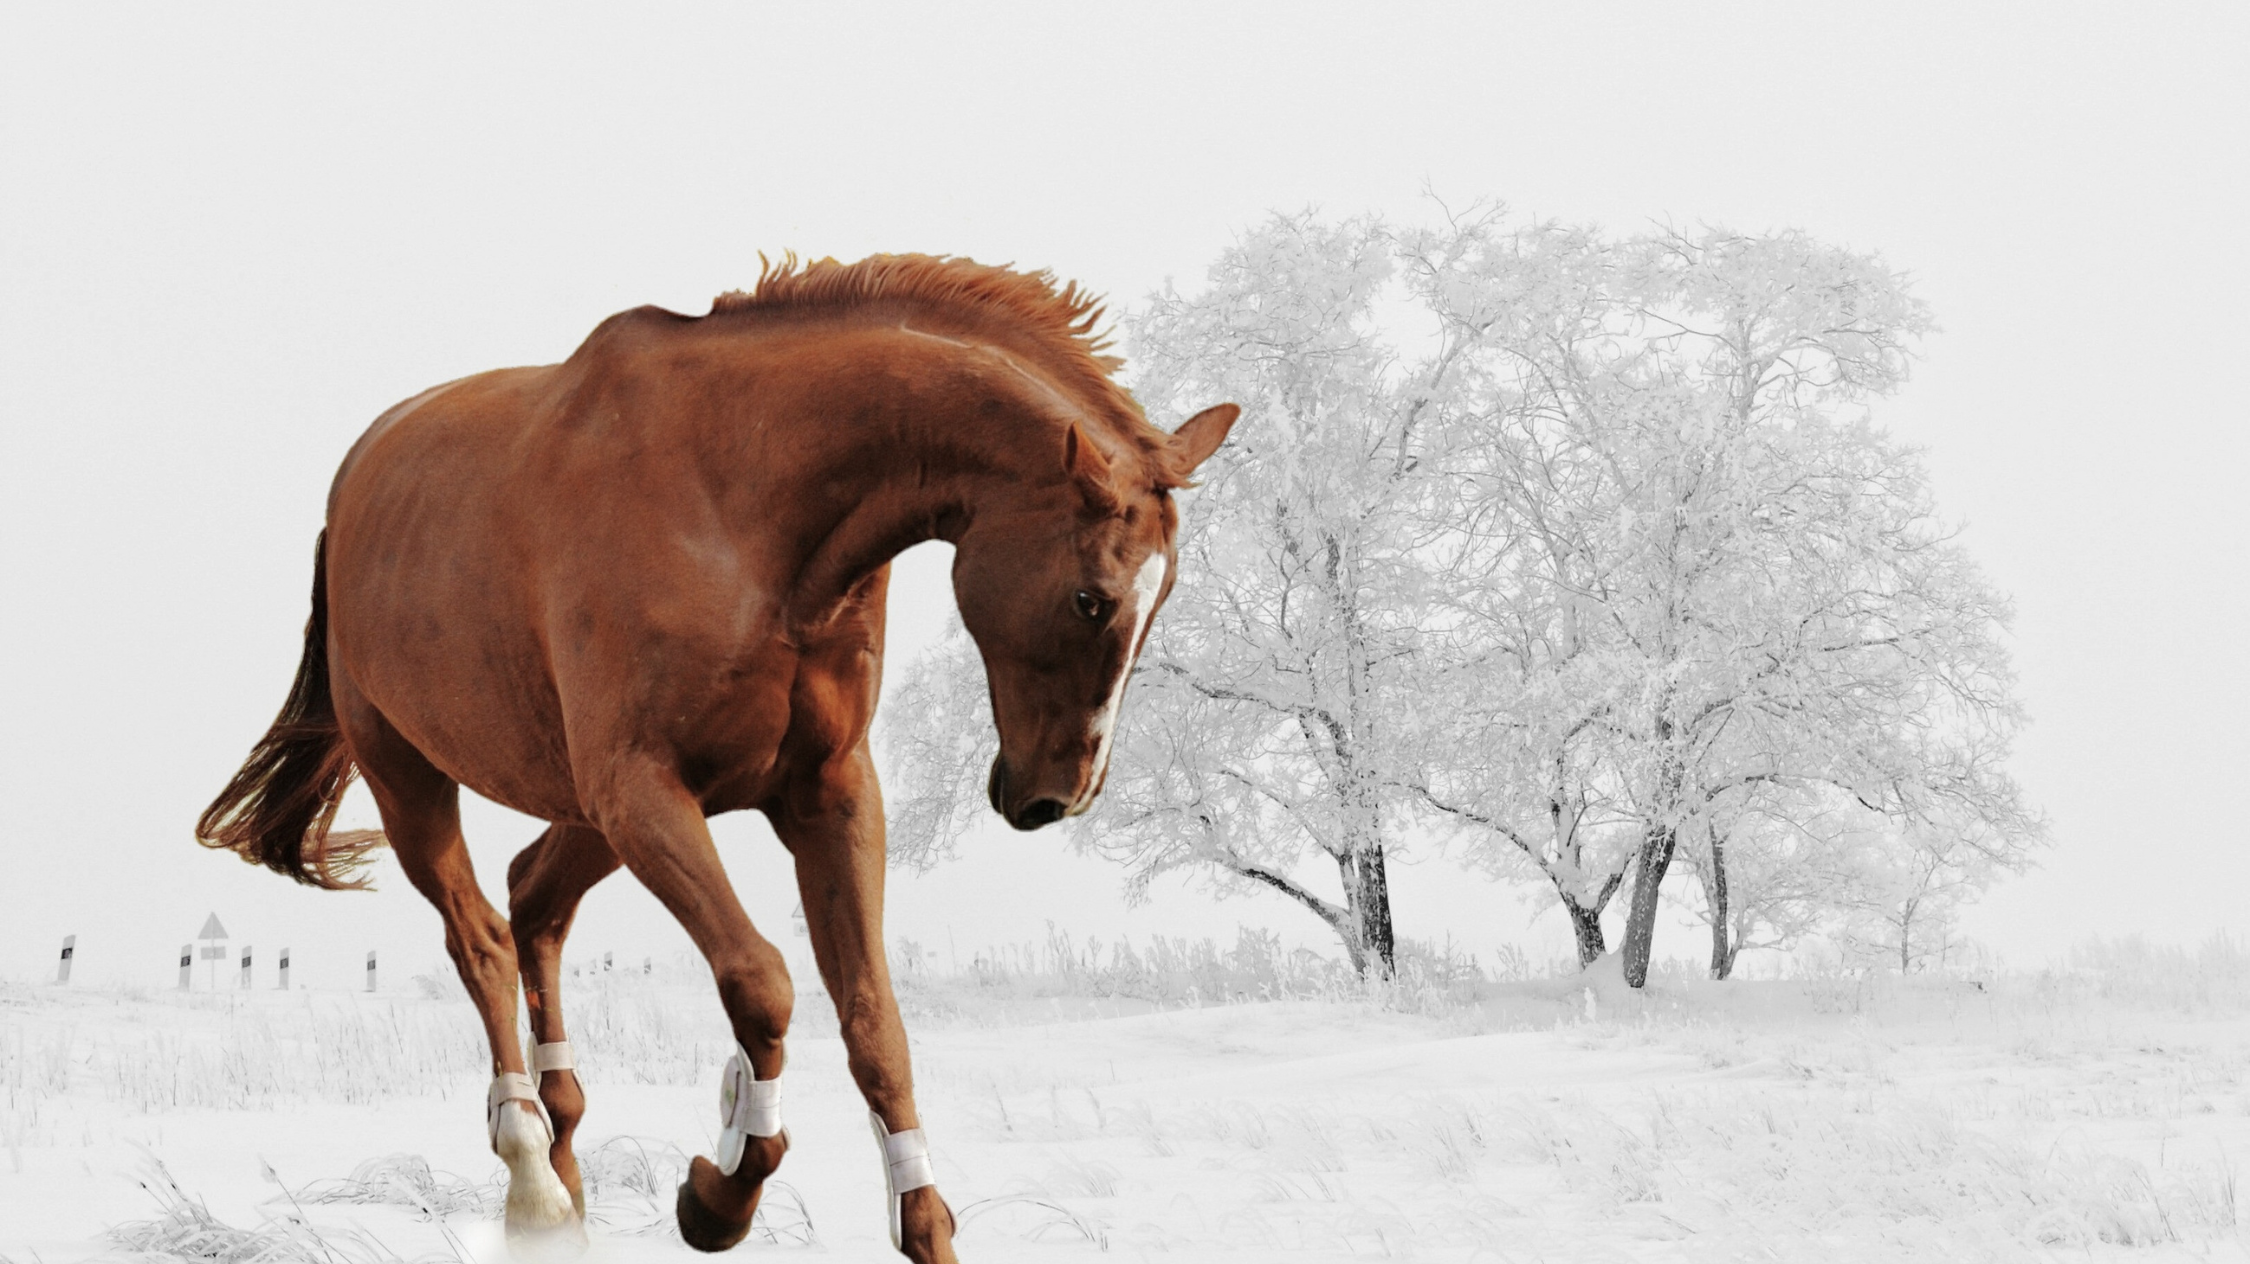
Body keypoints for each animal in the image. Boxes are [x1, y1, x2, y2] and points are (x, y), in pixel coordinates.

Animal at [195, 254, 1237, 1260]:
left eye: (1164, 593)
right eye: (1092, 598)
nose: (1056, 796)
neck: (745, 507)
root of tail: (354, 484)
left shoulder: (827, 794)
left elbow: (875, 1021)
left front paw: (923, 1223)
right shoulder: (643, 789)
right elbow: (763, 982)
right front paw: (719, 1193)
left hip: (582, 809)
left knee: (533, 898)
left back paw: (565, 1163)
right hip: (414, 777)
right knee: (482, 937)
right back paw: (533, 1177)